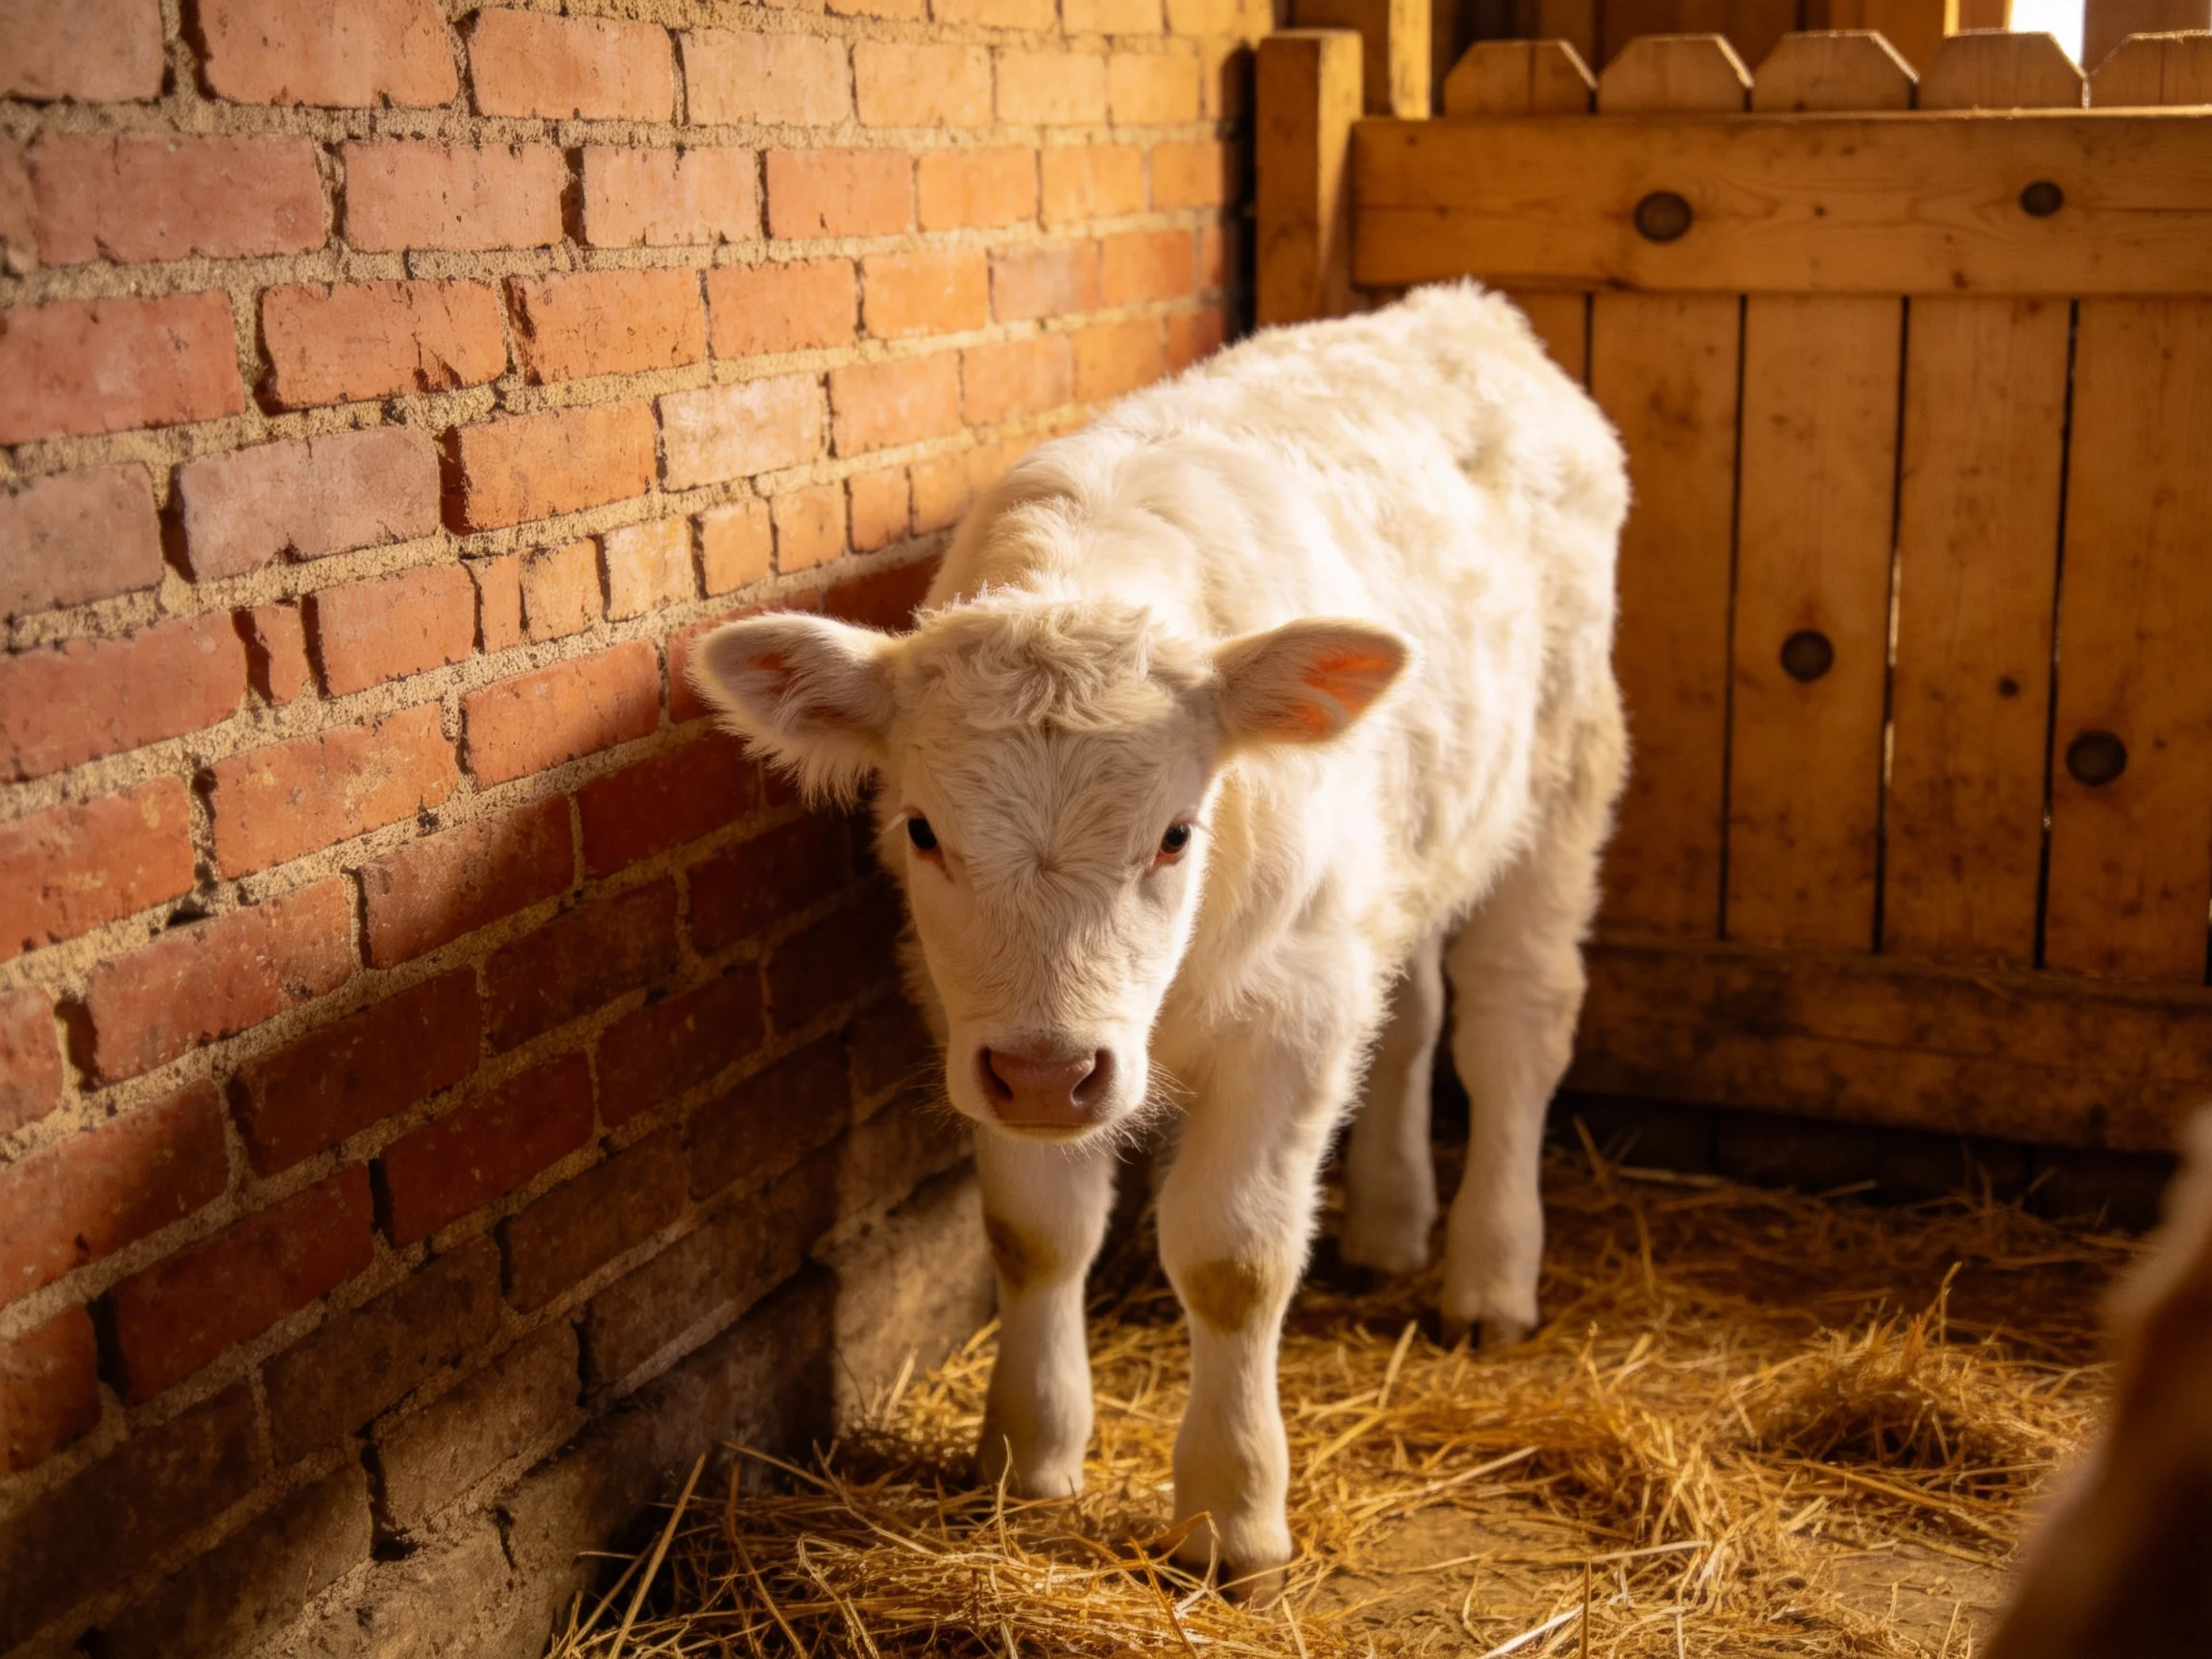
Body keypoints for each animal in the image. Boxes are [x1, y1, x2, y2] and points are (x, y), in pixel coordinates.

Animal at [690, 282, 1629, 1594]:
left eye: (1178, 834)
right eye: (922, 828)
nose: (1050, 1075)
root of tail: (1467, 312)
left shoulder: (1291, 1009)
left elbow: (1234, 1260)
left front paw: (1233, 1514)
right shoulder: (983, 1022)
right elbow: (1034, 1234)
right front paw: (1027, 1454)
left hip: (1561, 773)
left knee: (1511, 1027)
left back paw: (1490, 1277)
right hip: (1391, 872)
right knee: (1412, 1014)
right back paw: (1391, 1224)